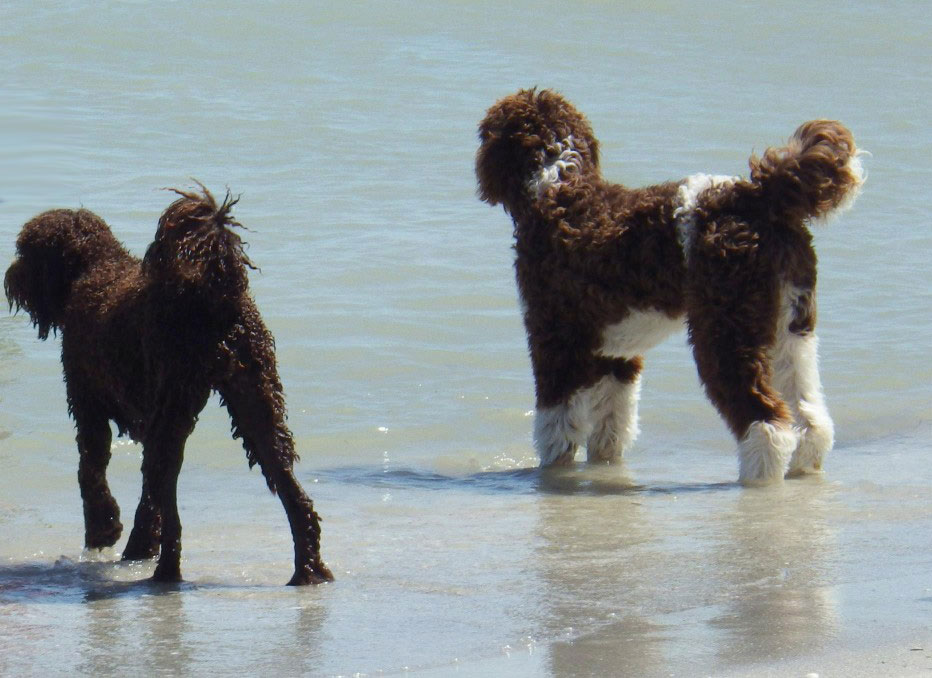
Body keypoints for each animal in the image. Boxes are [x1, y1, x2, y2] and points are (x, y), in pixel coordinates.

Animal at [5, 185, 334, 584]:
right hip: (258, 409)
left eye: (25, 251)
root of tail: (215, 291)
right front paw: (139, 543)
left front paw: (105, 530)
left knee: (170, 501)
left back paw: (164, 573)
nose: (9, 277)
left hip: (178, 408)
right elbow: (148, 499)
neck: (94, 267)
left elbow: (91, 472)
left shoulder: (87, 403)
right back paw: (308, 569)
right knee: (294, 497)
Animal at [476, 87, 864, 486]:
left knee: (766, 420)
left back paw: (757, 480)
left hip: (725, 331)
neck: (557, 184)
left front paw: (554, 472)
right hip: (791, 331)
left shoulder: (554, 340)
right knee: (810, 418)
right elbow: (612, 424)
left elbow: (557, 426)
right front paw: (604, 467)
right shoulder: (617, 354)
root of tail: (758, 195)